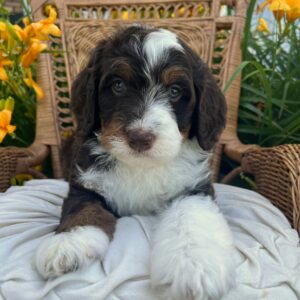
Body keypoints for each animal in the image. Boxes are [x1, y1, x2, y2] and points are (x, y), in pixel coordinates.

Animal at [35, 25, 236, 300]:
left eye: (175, 91)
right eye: (118, 85)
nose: (140, 137)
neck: (140, 166)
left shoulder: (194, 187)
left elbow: (191, 216)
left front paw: (194, 266)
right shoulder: (85, 182)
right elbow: (82, 209)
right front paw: (69, 243)